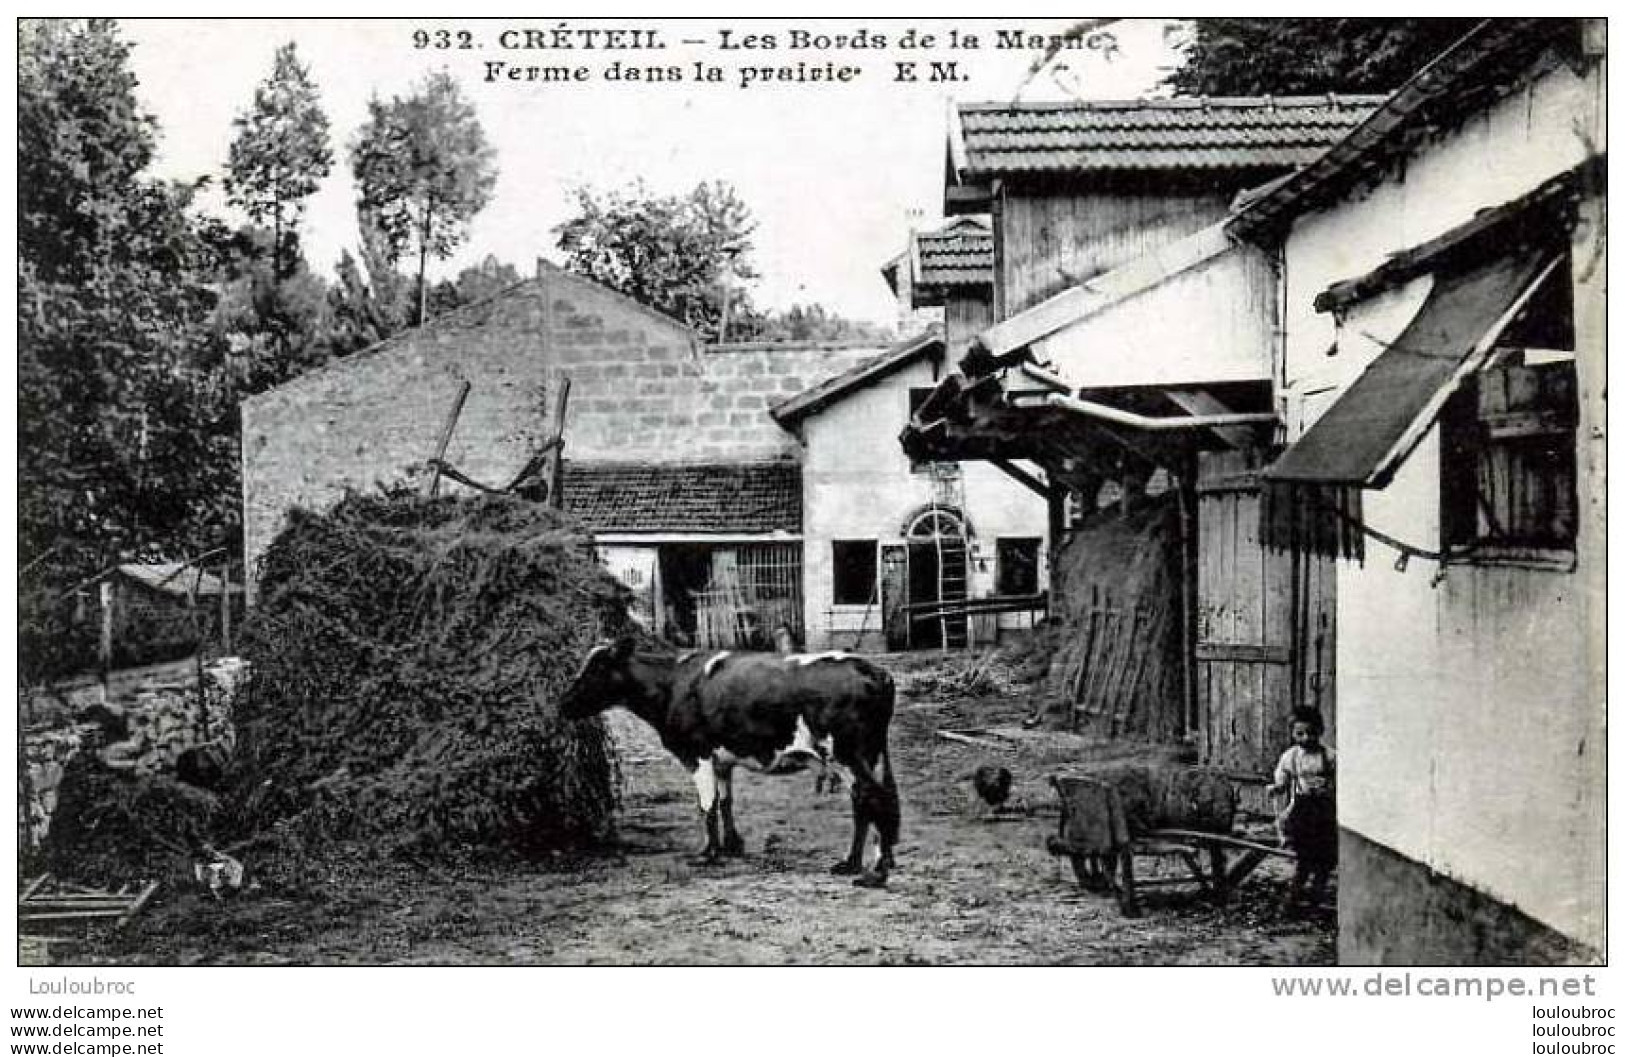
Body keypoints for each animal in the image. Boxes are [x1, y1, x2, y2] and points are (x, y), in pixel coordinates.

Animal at [562, 634, 903, 878]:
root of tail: (874, 670)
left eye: (596, 668)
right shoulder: (721, 760)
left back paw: (865, 868)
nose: (563, 703)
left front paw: (707, 853)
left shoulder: (696, 753)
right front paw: (732, 846)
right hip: (869, 756)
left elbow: (707, 805)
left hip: (847, 755)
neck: (672, 682)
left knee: (872, 798)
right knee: (871, 801)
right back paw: (875, 861)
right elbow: (725, 801)